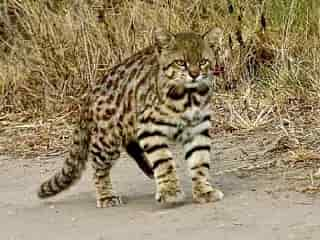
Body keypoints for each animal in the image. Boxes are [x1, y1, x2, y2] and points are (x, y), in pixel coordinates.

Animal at [38, 28, 225, 207]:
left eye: (203, 62)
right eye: (181, 63)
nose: (194, 74)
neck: (189, 95)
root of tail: (91, 93)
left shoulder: (197, 129)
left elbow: (199, 162)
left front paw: (203, 191)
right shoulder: (151, 126)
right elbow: (164, 162)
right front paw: (170, 191)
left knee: (130, 146)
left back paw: (148, 169)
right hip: (108, 140)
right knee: (98, 166)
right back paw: (106, 195)